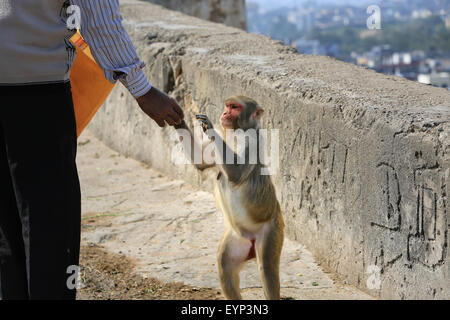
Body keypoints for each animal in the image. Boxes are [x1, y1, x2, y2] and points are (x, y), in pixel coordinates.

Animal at [174, 95, 284, 300]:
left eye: (234, 107)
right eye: (227, 106)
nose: (224, 113)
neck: (236, 132)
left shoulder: (251, 141)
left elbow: (235, 173)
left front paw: (209, 125)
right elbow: (200, 162)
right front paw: (178, 115)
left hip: (273, 229)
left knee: (267, 268)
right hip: (238, 239)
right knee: (225, 265)